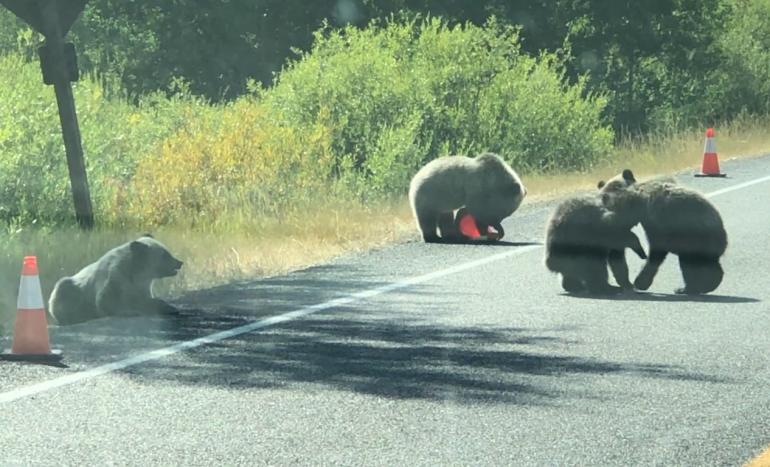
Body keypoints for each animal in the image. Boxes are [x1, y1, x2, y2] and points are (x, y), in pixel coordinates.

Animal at [49, 234, 184, 326]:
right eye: (165, 255)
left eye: (167, 251)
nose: (179, 262)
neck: (137, 272)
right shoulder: (116, 278)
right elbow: (106, 300)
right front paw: (129, 312)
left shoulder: (142, 286)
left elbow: (145, 299)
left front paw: (170, 307)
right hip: (68, 291)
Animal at [592, 168, 728, 294]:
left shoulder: (656, 219)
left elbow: (656, 249)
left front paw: (640, 282)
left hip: (698, 237)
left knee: (690, 262)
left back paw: (690, 287)